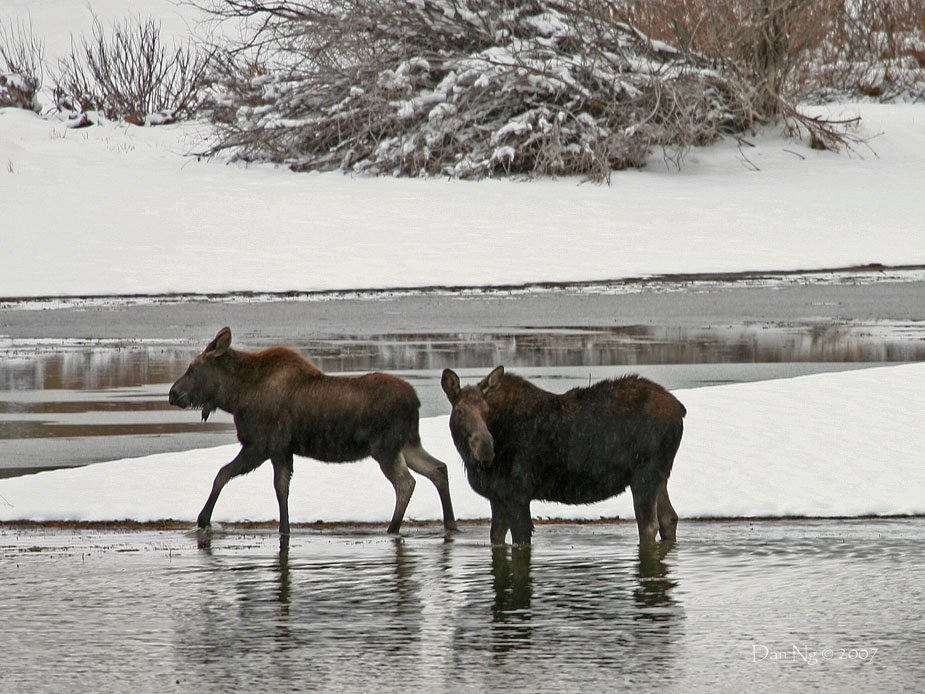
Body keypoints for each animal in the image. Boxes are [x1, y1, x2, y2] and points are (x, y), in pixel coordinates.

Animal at [170, 328, 458, 536]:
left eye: (193, 368)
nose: (173, 393)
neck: (235, 397)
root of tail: (416, 401)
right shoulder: (282, 450)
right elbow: (281, 489)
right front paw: (284, 529)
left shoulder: (260, 445)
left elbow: (222, 474)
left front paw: (203, 520)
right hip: (407, 443)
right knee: (438, 468)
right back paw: (450, 523)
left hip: (386, 448)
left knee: (406, 483)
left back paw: (393, 528)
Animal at [440, 370, 684, 548]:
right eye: (460, 412)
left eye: (486, 410)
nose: (486, 448)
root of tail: (680, 410)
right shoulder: (498, 497)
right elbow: (496, 539)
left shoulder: (518, 495)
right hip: (660, 475)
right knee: (669, 518)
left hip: (645, 474)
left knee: (649, 525)